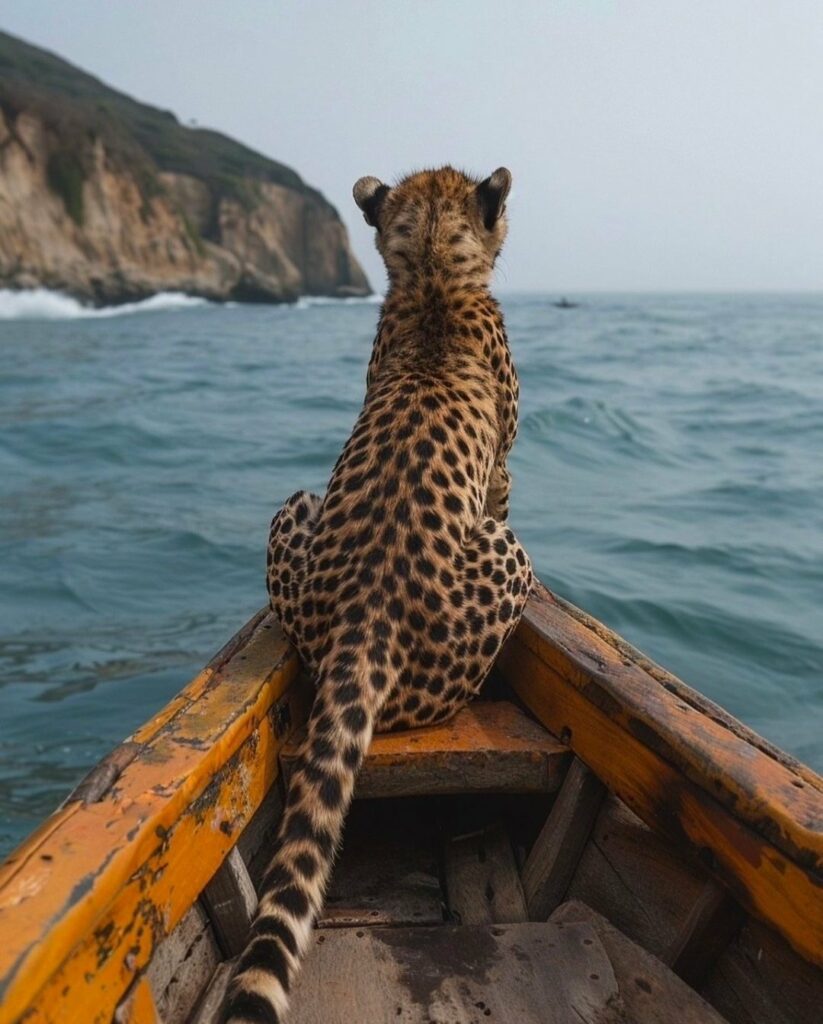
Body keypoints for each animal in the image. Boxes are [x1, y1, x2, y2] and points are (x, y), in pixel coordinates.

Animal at [225, 163, 532, 1019]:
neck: (432, 277)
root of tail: (368, 619)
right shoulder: (501, 475)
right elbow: (504, 488)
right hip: (502, 563)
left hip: (294, 506)